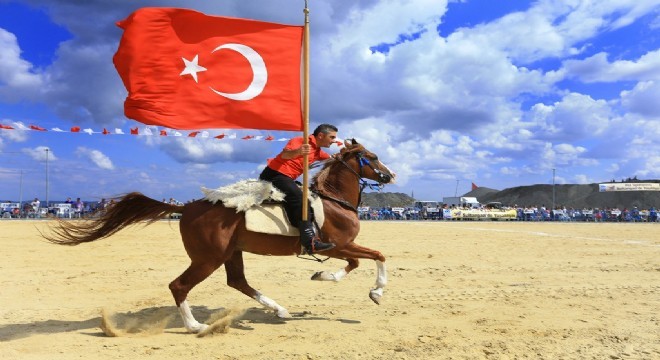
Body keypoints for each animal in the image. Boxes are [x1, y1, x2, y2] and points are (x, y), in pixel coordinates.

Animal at [45, 139, 392, 334]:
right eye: (373, 156)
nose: (391, 175)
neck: (335, 199)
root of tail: (185, 206)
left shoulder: (341, 248)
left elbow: (357, 263)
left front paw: (322, 275)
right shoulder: (339, 245)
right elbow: (377, 256)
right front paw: (376, 292)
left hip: (230, 252)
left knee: (237, 281)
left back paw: (278, 309)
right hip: (208, 258)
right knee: (179, 285)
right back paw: (195, 326)